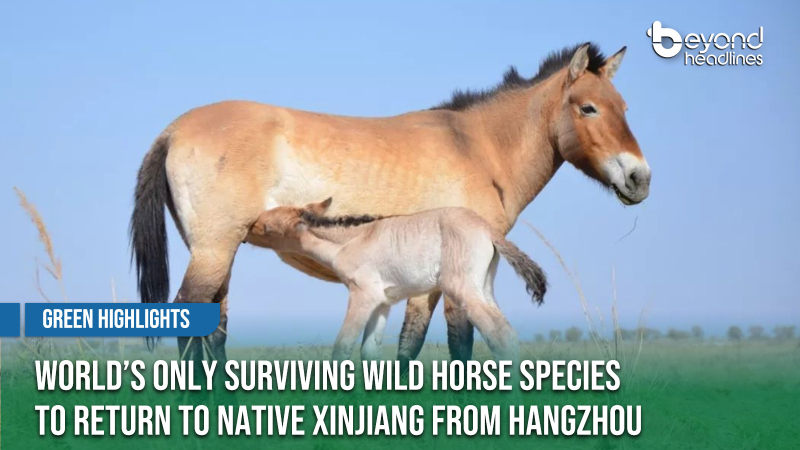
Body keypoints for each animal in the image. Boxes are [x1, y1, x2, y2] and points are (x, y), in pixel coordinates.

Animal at [247, 198, 547, 361]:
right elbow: (369, 353)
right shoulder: (382, 303)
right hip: (483, 287)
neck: (353, 240)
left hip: (463, 290)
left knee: (500, 335)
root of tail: (487, 230)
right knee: (508, 334)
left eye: (266, 227)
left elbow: (342, 347)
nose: (246, 228)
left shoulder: (362, 296)